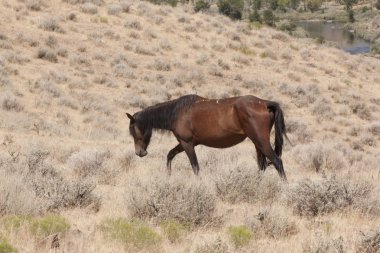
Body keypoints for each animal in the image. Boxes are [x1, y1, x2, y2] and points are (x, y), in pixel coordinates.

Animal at [126, 94, 290, 180]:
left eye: (134, 131)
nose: (139, 152)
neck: (177, 112)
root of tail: (265, 103)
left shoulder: (187, 143)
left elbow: (195, 166)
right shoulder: (186, 143)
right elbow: (170, 155)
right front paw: (168, 176)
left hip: (261, 141)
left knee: (277, 162)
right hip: (257, 143)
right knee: (262, 165)